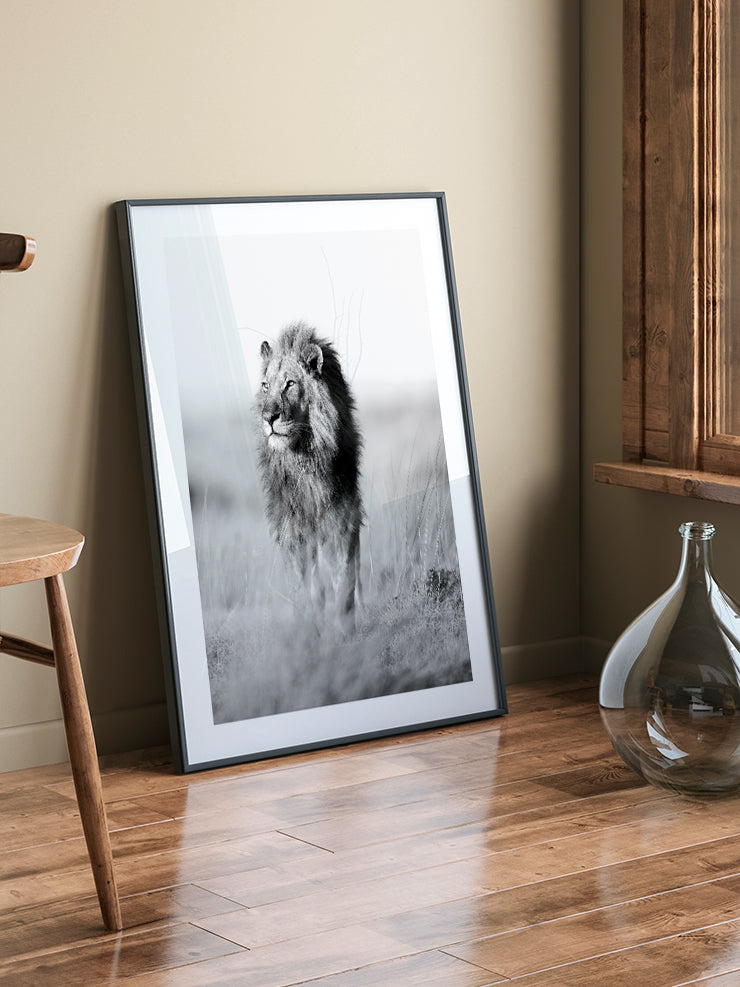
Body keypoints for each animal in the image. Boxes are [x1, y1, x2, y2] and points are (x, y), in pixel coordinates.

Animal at [256, 322, 363, 629]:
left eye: (290, 384)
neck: (304, 456)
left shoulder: (342, 518)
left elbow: (344, 579)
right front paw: (311, 627)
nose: (268, 417)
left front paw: (344, 629)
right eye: (265, 386)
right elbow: (308, 588)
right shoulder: (293, 529)